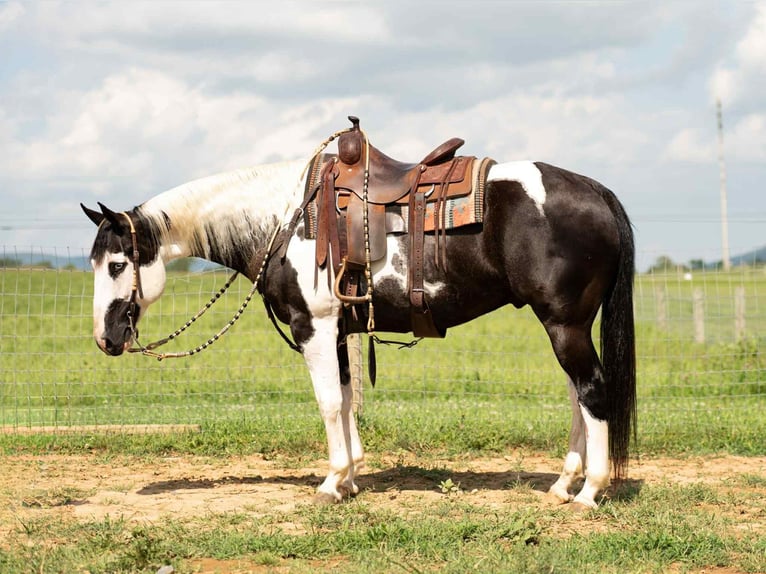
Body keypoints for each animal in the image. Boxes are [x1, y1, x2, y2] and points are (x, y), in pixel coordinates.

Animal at [81, 140, 636, 510]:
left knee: (592, 391)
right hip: (565, 326)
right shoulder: (339, 333)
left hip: (565, 325)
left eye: (116, 265)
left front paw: (331, 483)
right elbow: (347, 402)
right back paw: (563, 485)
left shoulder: (314, 327)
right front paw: (349, 478)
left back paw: (589, 492)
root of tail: (597, 191)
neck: (285, 218)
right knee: (577, 396)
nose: (105, 340)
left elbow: (328, 404)